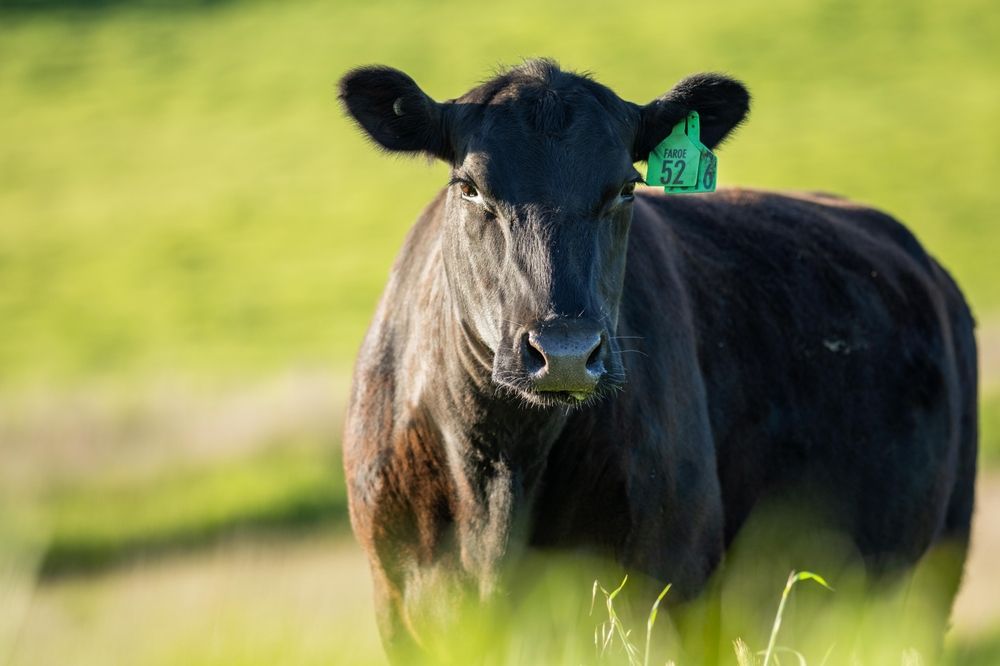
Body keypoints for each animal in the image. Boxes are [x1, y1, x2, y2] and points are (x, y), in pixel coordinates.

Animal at [338, 59, 978, 663]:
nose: (565, 353)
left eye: (626, 187)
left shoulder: (673, 593)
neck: (498, 473)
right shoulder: (396, 606)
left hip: (935, 572)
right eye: (470, 187)